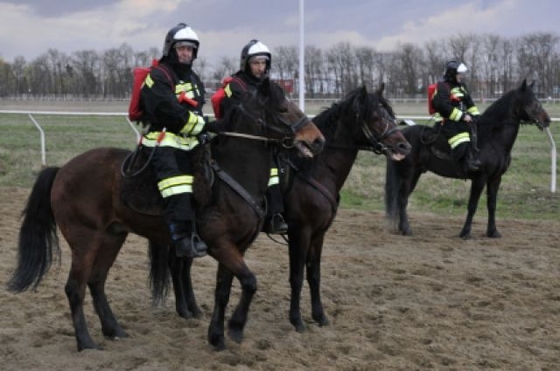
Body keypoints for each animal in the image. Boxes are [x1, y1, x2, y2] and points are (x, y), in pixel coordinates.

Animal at [7, 77, 324, 352]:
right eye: (282, 109)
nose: (317, 139)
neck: (232, 174)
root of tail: (63, 170)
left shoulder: (238, 246)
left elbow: (225, 290)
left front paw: (217, 336)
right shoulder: (220, 243)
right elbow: (250, 282)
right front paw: (234, 327)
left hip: (112, 237)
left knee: (96, 282)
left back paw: (113, 329)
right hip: (85, 240)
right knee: (75, 288)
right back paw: (86, 342)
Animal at [282, 85, 410, 332]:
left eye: (392, 115)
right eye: (376, 116)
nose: (404, 146)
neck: (314, 170)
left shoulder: (318, 234)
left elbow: (314, 274)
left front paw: (319, 316)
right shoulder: (300, 232)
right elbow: (297, 276)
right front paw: (296, 320)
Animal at [384, 80, 552, 240]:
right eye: (532, 101)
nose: (547, 120)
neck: (492, 138)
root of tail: (401, 138)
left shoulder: (495, 178)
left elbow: (492, 205)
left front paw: (493, 232)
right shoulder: (480, 178)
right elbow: (472, 206)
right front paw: (465, 233)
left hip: (415, 174)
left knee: (402, 198)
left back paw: (402, 228)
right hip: (408, 174)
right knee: (403, 199)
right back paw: (406, 229)